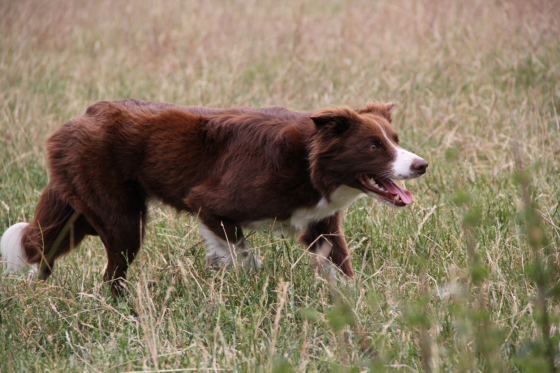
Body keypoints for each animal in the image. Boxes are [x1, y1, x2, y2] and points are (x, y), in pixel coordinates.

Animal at [1, 99, 428, 294]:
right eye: (373, 146)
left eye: (395, 140)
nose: (422, 164)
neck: (307, 162)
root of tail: (80, 118)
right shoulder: (209, 203)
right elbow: (243, 256)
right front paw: (241, 284)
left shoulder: (319, 225)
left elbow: (341, 265)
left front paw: (357, 302)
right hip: (120, 217)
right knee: (111, 272)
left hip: (80, 214)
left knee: (43, 249)